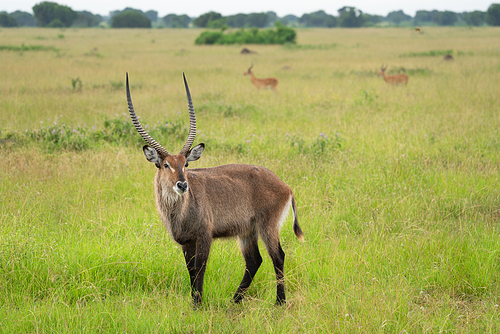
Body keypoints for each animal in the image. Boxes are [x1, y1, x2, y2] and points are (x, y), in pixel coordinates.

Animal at [127, 72, 302, 306]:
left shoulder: (204, 236)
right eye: (165, 165)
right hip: (247, 231)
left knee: (278, 256)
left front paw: (197, 304)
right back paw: (234, 301)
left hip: (267, 226)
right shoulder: (186, 242)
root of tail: (285, 186)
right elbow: (190, 271)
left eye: (185, 164)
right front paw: (195, 302)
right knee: (254, 261)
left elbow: (200, 268)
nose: (182, 184)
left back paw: (279, 302)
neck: (178, 211)